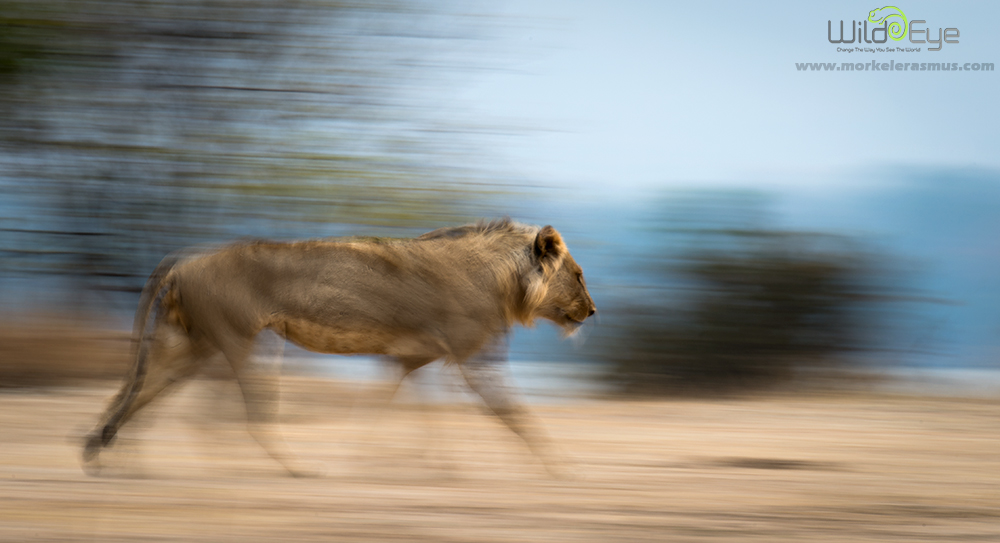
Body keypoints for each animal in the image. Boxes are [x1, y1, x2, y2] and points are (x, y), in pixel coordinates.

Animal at [82, 219, 596, 477]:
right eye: (578, 274)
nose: (592, 311)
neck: (505, 282)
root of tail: (184, 259)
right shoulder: (473, 359)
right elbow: (515, 415)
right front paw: (563, 468)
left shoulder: (411, 357)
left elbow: (399, 411)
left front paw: (431, 466)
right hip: (245, 341)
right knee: (242, 417)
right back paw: (297, 469)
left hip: (194, 343)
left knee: (144, 393)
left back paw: (109, 456)